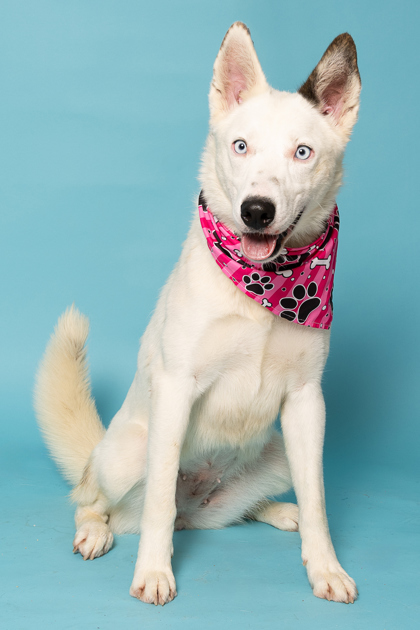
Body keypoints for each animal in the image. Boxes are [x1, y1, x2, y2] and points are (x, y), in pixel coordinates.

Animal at [34, 23, 360, 608]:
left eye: (302, 153)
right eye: (240, 146)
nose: (257, 210)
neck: (265, 288)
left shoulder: (307, 403)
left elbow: (319, 497)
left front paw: (325, 567)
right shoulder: (175, 388)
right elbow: (160, 499)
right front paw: (154, 572)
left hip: (277, 451)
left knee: (243, 509)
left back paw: (280, 511)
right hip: (125, 453)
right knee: (99, 501)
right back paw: (96, 530)